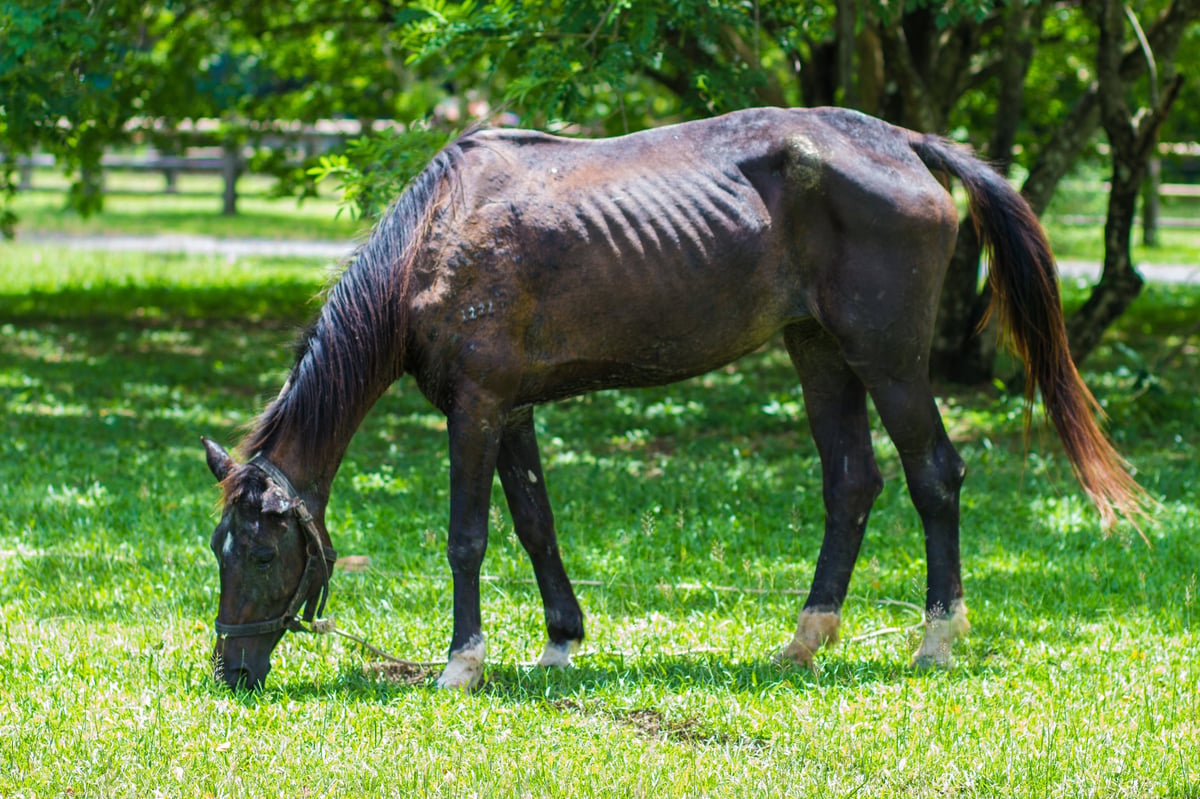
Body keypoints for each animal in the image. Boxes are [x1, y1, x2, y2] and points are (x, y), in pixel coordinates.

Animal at [202, 106, 1145, 691]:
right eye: (219, 550)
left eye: (262, 553)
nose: (233, 673)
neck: (440, 233)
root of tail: (906, 144)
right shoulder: (513, 409)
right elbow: (536, 523)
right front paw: (559, 644)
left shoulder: (474, 409)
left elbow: (468, 537)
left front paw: (462, 663)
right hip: (819, 352)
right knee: (852, 482)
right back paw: (804, 640)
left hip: (889, 361)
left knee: (935, 477)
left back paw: (937, 638)